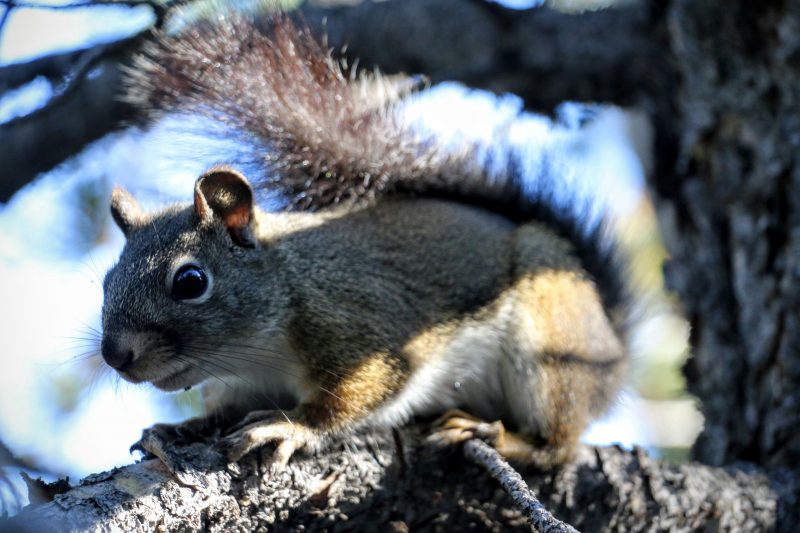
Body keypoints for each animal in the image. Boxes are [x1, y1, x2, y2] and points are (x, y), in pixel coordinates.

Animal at [103, 12, 636, 472]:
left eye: (191, 281)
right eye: (107, 281)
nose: (115, 356)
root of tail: (611, 341)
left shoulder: (365, 329)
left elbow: (354, 396)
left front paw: (292, 426)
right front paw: (183, 428)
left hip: (552, 344)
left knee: (560, 443)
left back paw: (502, 437)